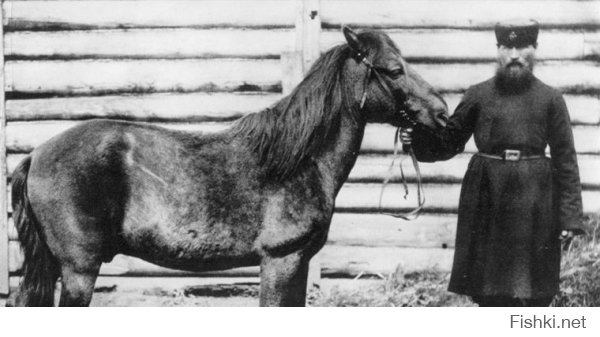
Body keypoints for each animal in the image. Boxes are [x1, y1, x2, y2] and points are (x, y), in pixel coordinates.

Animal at [10, 25, 446, 304]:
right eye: (394, 69)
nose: (441, 113)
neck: (297, 162)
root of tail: (36, 154)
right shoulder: (279, 263)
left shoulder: (300, 264)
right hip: (79, 269)